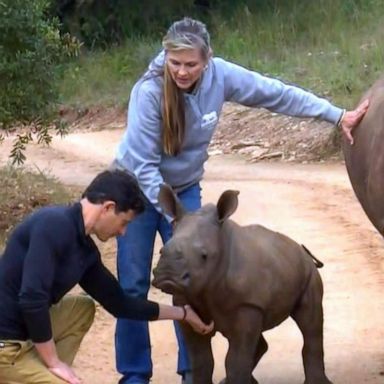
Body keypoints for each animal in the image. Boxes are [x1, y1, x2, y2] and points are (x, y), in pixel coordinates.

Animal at [152, 185, 332, 384]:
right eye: (161, 250)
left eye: (204, 256)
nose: (168, 276)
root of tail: (303, 251)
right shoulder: (187, 301)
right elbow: (201, 359)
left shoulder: (248, 304)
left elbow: (235, 359)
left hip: (308, 273)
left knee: (310, 325)